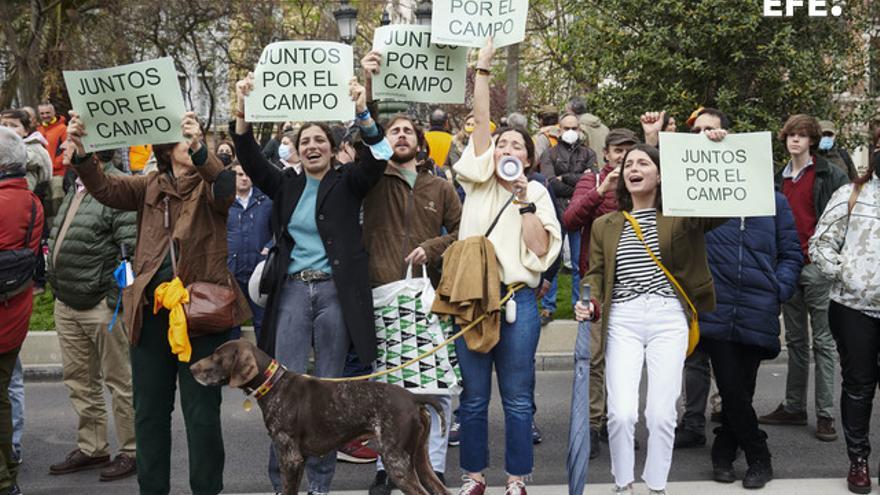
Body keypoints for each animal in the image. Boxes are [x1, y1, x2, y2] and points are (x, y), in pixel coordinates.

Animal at [187, 340, 446, 495]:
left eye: (217, 356)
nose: (191, 368)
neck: (275, 386)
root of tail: (413, 398)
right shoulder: (298, 459)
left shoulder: (290, 457)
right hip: (420, 460)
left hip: (396, 461)